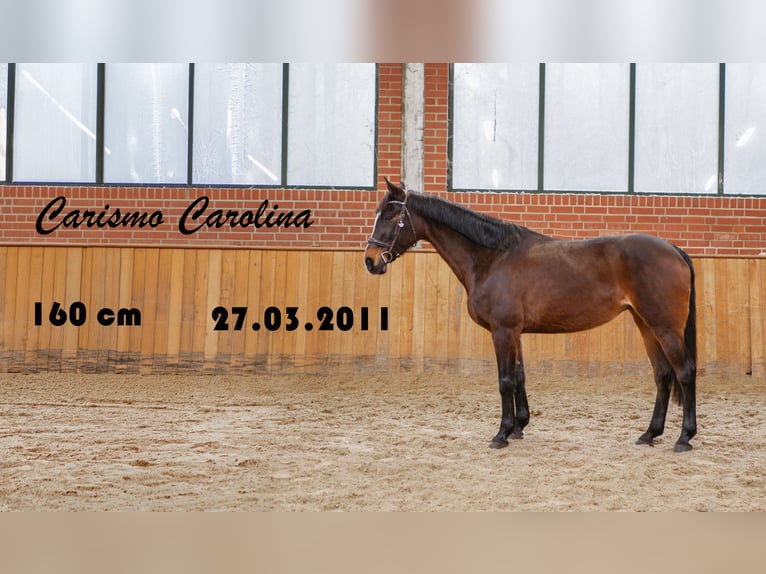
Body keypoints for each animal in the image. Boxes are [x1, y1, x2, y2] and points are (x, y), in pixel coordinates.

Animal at [364, 178, 697, 452]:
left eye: (391, 216)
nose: (370, 261)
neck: (492, 257)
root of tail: (673, 249)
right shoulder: (515, 333)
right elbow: (520, 377)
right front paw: (518, 427)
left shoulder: (503, 331)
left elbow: (505, 380)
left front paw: (501, 434)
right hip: (646, 325)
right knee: (663, 375)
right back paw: (650, 434)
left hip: (664, 327)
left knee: (684, 372)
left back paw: (684, 438)